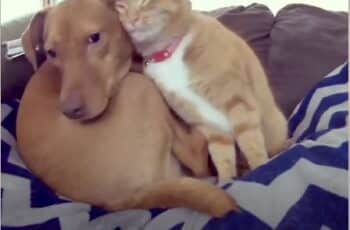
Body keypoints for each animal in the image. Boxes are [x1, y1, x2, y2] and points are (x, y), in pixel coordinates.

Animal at [112, 0, 288, 181]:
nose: (131, 20)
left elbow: (251, 143)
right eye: (121, 6)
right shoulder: (206, 120)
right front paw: (226, 181)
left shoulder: (236, 100)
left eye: (145, 2)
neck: (169, 53)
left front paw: (260, 170)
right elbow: (222, 156)